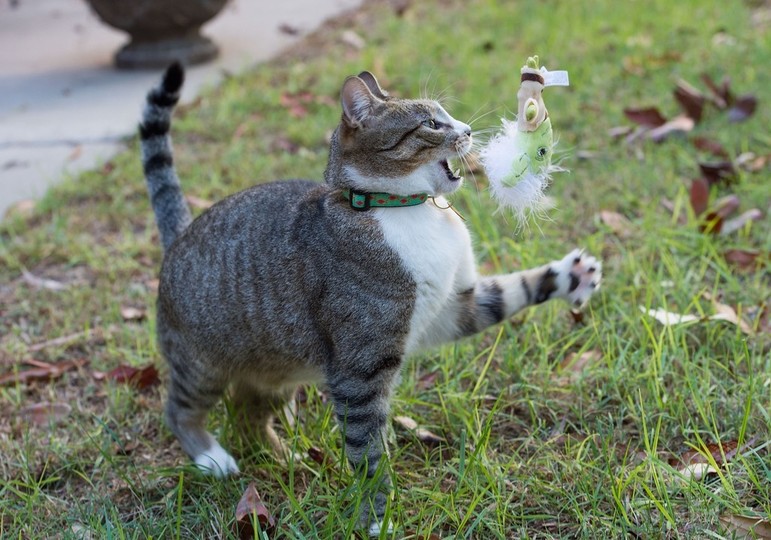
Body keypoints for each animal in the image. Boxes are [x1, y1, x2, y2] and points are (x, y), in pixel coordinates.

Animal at [139, 63, 604, 536]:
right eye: (432, 123)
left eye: (447, 116)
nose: (469, 130)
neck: (403, 209)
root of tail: (180, 234)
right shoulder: (359, 369)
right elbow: (368, 452)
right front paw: (379, 517)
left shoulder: (452, 308)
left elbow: (512, 292)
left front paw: (569, 276)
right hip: (204, 364)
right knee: (180, 408)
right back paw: (210, 456)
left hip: (279, 369)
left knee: (250, 413)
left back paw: (286, 460)